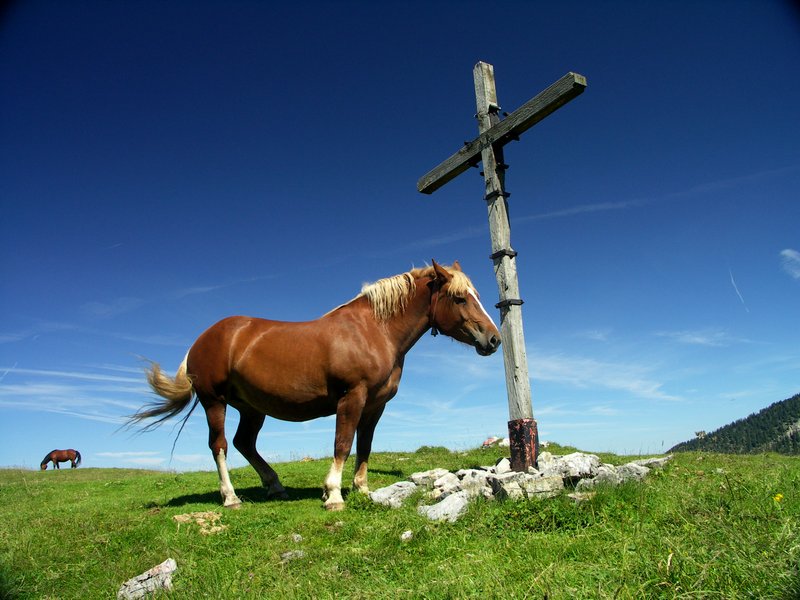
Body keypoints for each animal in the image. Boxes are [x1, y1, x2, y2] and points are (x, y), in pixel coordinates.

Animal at [130, 260, 500, 508]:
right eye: (460, 298)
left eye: (475, 295)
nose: (494, 339)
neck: (373, 331)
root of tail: (201, 340)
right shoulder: (352, 397)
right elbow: (343, 444)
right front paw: (333, 494)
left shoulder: (375, 405)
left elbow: (364, 446)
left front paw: (362, 489)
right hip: (214, 402)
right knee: (219, 446)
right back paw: (231, 497)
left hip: (252, 409)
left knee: (244, 443)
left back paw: (275, 486)